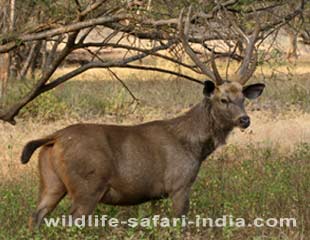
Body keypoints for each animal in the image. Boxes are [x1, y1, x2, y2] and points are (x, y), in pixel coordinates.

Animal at [20, 11, 266, 229]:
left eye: (243, 98)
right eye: (223, 99)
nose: (245, 120)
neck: (194, 146)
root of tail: (54, 138)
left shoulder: (155, 194)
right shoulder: (179, 183)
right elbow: (180, 224)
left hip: (51, 182)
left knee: (35, 217)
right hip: (87, 186)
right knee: (69, 222)